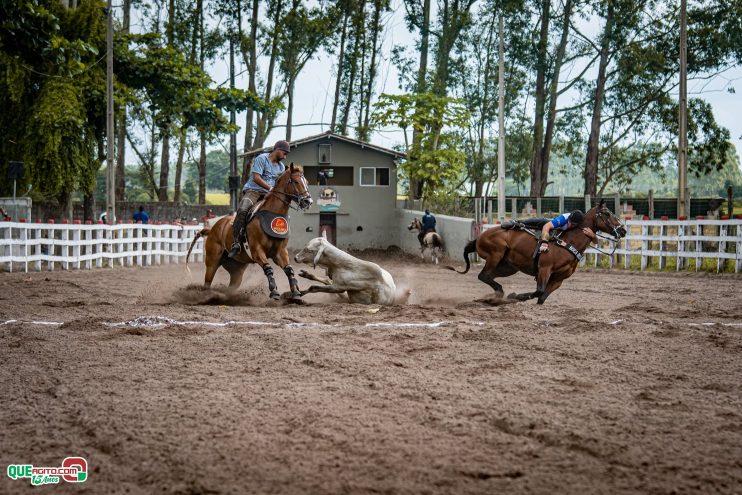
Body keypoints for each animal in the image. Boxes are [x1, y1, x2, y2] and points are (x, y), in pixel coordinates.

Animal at [189, 165, 314, 300]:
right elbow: (268, 268)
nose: (308, 201)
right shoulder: (257, 251)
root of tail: (213, 228)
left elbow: (289, 269)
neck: (272, 214)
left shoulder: (280, 251)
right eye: (295, 181)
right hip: (212, 261)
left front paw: (295, 292)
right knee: (207, 283)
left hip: (237, 270)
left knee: (231, 286)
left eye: (307, 182)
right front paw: (274, 292)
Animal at [448, 200, 628, 304]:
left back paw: (495, 296)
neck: (569, 242)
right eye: (606, 213)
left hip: (508, 267)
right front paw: (515, 296)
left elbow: (541, 297)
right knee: (483, 275)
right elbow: (539, 291)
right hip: (495, 255)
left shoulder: (558, 280)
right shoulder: (544, 269)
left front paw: (517, 296)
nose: (623, 230)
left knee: (488, 277)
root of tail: (480, 237)